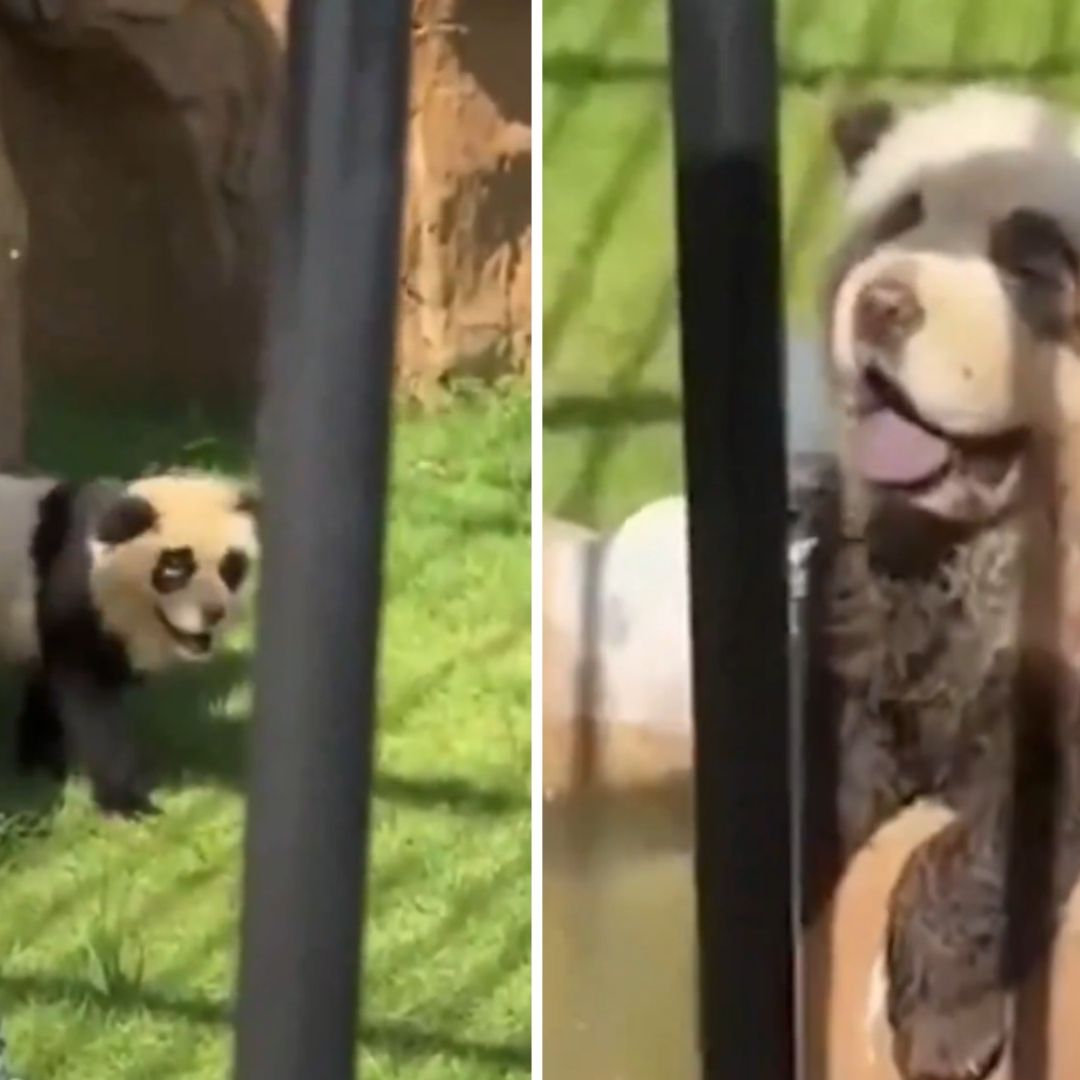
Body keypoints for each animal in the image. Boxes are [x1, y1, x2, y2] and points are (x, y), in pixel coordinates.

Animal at [0, 469, 258, 819]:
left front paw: (40, 769)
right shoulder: (75, 598)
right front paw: (128, 805)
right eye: (174, 568)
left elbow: (46, 693)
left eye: (230, 567)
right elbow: (93, 707)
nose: (214, 613)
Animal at [803, 87, 1080, 1080]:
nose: (883, 305)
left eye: (1031, 259)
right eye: (897, 219)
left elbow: (1013, 814)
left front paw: (946, 1022)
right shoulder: (870, 598)